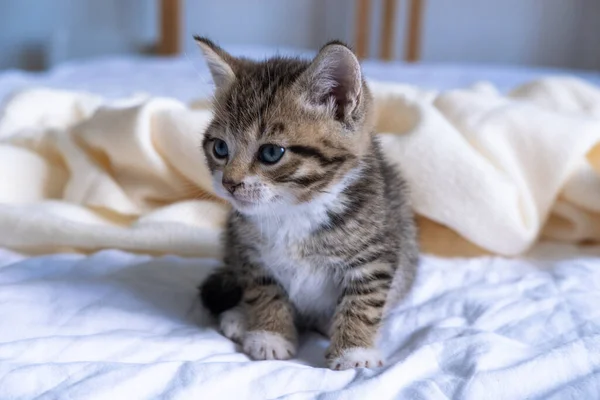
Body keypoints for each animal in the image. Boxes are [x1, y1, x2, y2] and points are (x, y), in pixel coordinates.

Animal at [197, 36, 418, 368]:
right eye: (220, 148)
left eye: (271, 153)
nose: (229, 183)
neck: (293, 211)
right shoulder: (249, 251)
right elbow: (263, 290)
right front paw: (270, 334)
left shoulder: (376, 252)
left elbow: (364, 300)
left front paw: (354, 350)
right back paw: (240, 316)